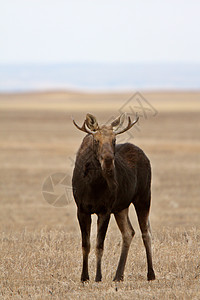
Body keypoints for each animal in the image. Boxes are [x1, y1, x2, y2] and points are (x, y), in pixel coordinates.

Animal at [72, 113, 156, 282]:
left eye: (114, 140)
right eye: (96, 140)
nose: (108, 160)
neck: (93, 184)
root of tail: (145, 156)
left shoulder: (105, 210)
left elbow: (99, 246)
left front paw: (98, 277)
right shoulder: (82, 210)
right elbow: (86, 245)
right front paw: (84, 277)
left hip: (143, 197)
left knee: (146, 233)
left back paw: (151, 274)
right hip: (121, 207)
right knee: (129, 232)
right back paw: (118, 275)